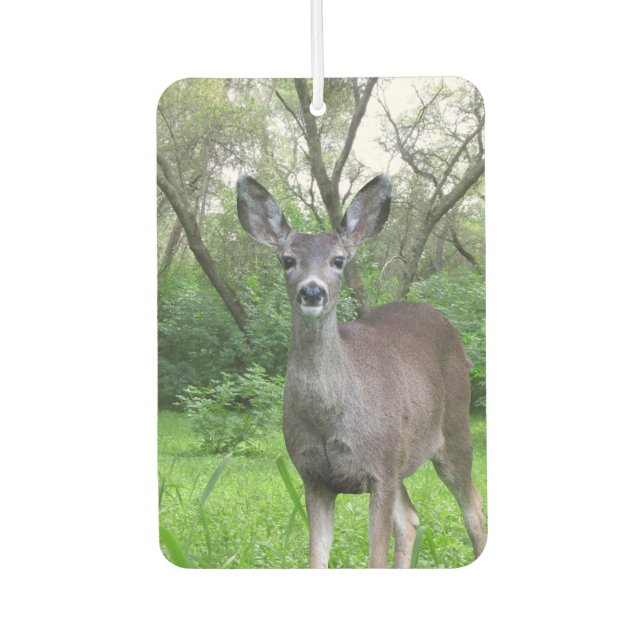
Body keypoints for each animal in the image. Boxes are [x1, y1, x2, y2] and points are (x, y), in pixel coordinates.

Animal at [236, 173, 487, 568]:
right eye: (287, 260)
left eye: (338, 260)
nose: (312, 291)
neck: (330, 420)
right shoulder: (314, 476)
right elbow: (317, 558)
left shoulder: (379, 469)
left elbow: (375, 558)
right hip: (401, 456)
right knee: (411, 519)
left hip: (453, 430)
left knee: (473, 507)